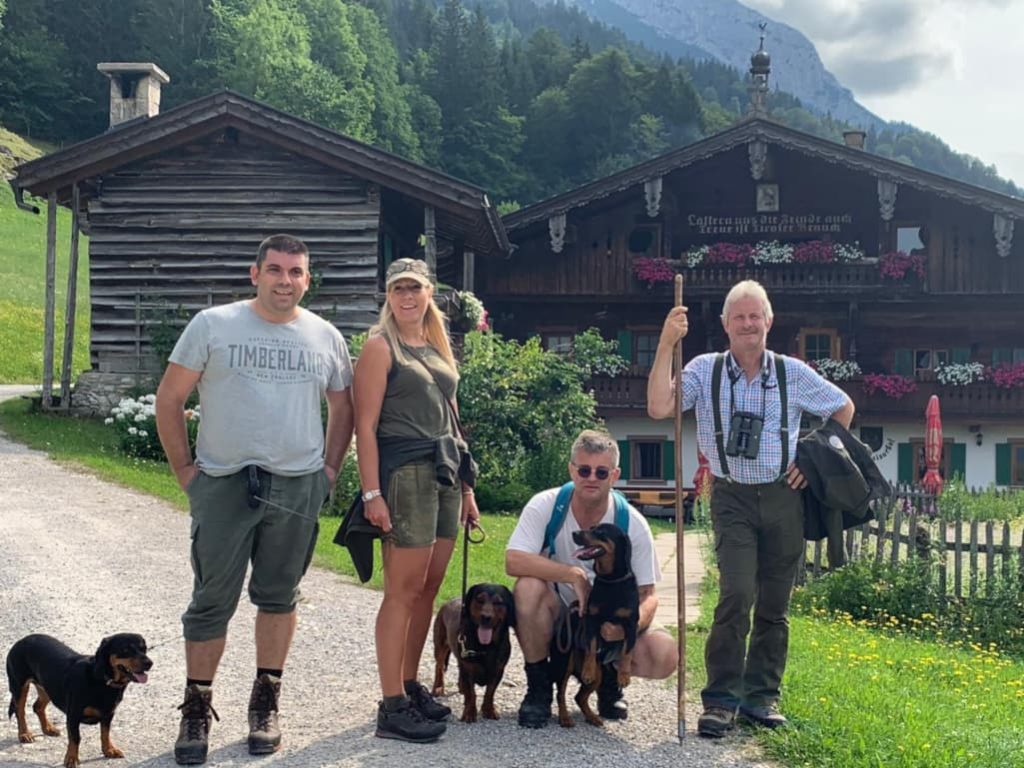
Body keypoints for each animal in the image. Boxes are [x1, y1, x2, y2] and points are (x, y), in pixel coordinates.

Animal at [4, 630, 152, 768]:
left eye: (144, 648)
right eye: (125, 650)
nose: (149, 663)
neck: (101, 680)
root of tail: (22, 640)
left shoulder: (108, 715)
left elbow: (105, 733)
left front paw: (109, 750)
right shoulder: (73, 715)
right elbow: (75, 738)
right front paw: (71, 759)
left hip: (48, 688)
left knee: (37, 706)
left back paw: (48, 729)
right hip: (19, 686)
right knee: (20, 711)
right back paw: (24, 734)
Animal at [430, 585, 516, 724]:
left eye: (498, 602)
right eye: (479, 600)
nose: (486, 617)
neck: (486, 646)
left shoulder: (498, 670)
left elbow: (490, 692)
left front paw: (489, 710)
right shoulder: (468, 669)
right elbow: (471, 693)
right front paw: (469, 713)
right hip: (440, 645)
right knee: (439, 667)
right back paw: (438, 688)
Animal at [552, 528, 638, 729]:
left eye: (600, 531)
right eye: (591, 528)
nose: (575, 533)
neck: (611, 580)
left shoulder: (631, 624)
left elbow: (627, 651)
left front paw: (624, 675)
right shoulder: (591, 621)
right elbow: (591, 646)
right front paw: (588, 670)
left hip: (599, 674)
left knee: (579, 697)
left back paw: (592, 717)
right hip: (564, 663)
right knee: (561, 693)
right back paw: (565, 717)